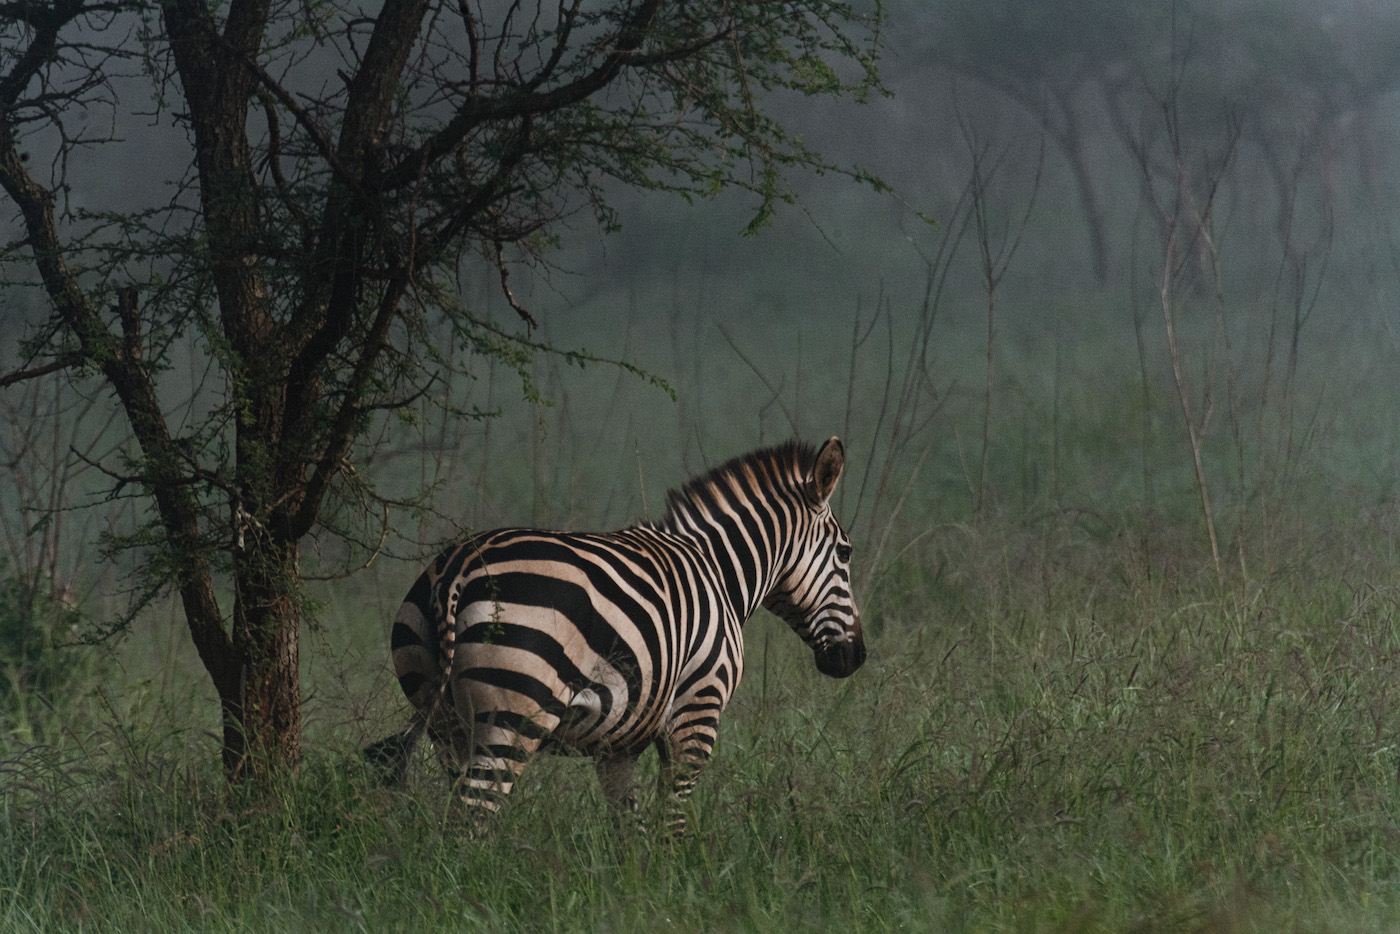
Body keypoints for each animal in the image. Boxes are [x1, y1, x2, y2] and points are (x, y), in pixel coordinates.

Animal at [364, 439, 862, 834]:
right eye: (845, 552)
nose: (855, 657)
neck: (719, 570)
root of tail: (459, 568)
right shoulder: (698, 709)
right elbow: (671, 823)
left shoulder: (619, 743)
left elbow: (630, 831)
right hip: (512, 717)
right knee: (470, 822)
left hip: (444, 719)